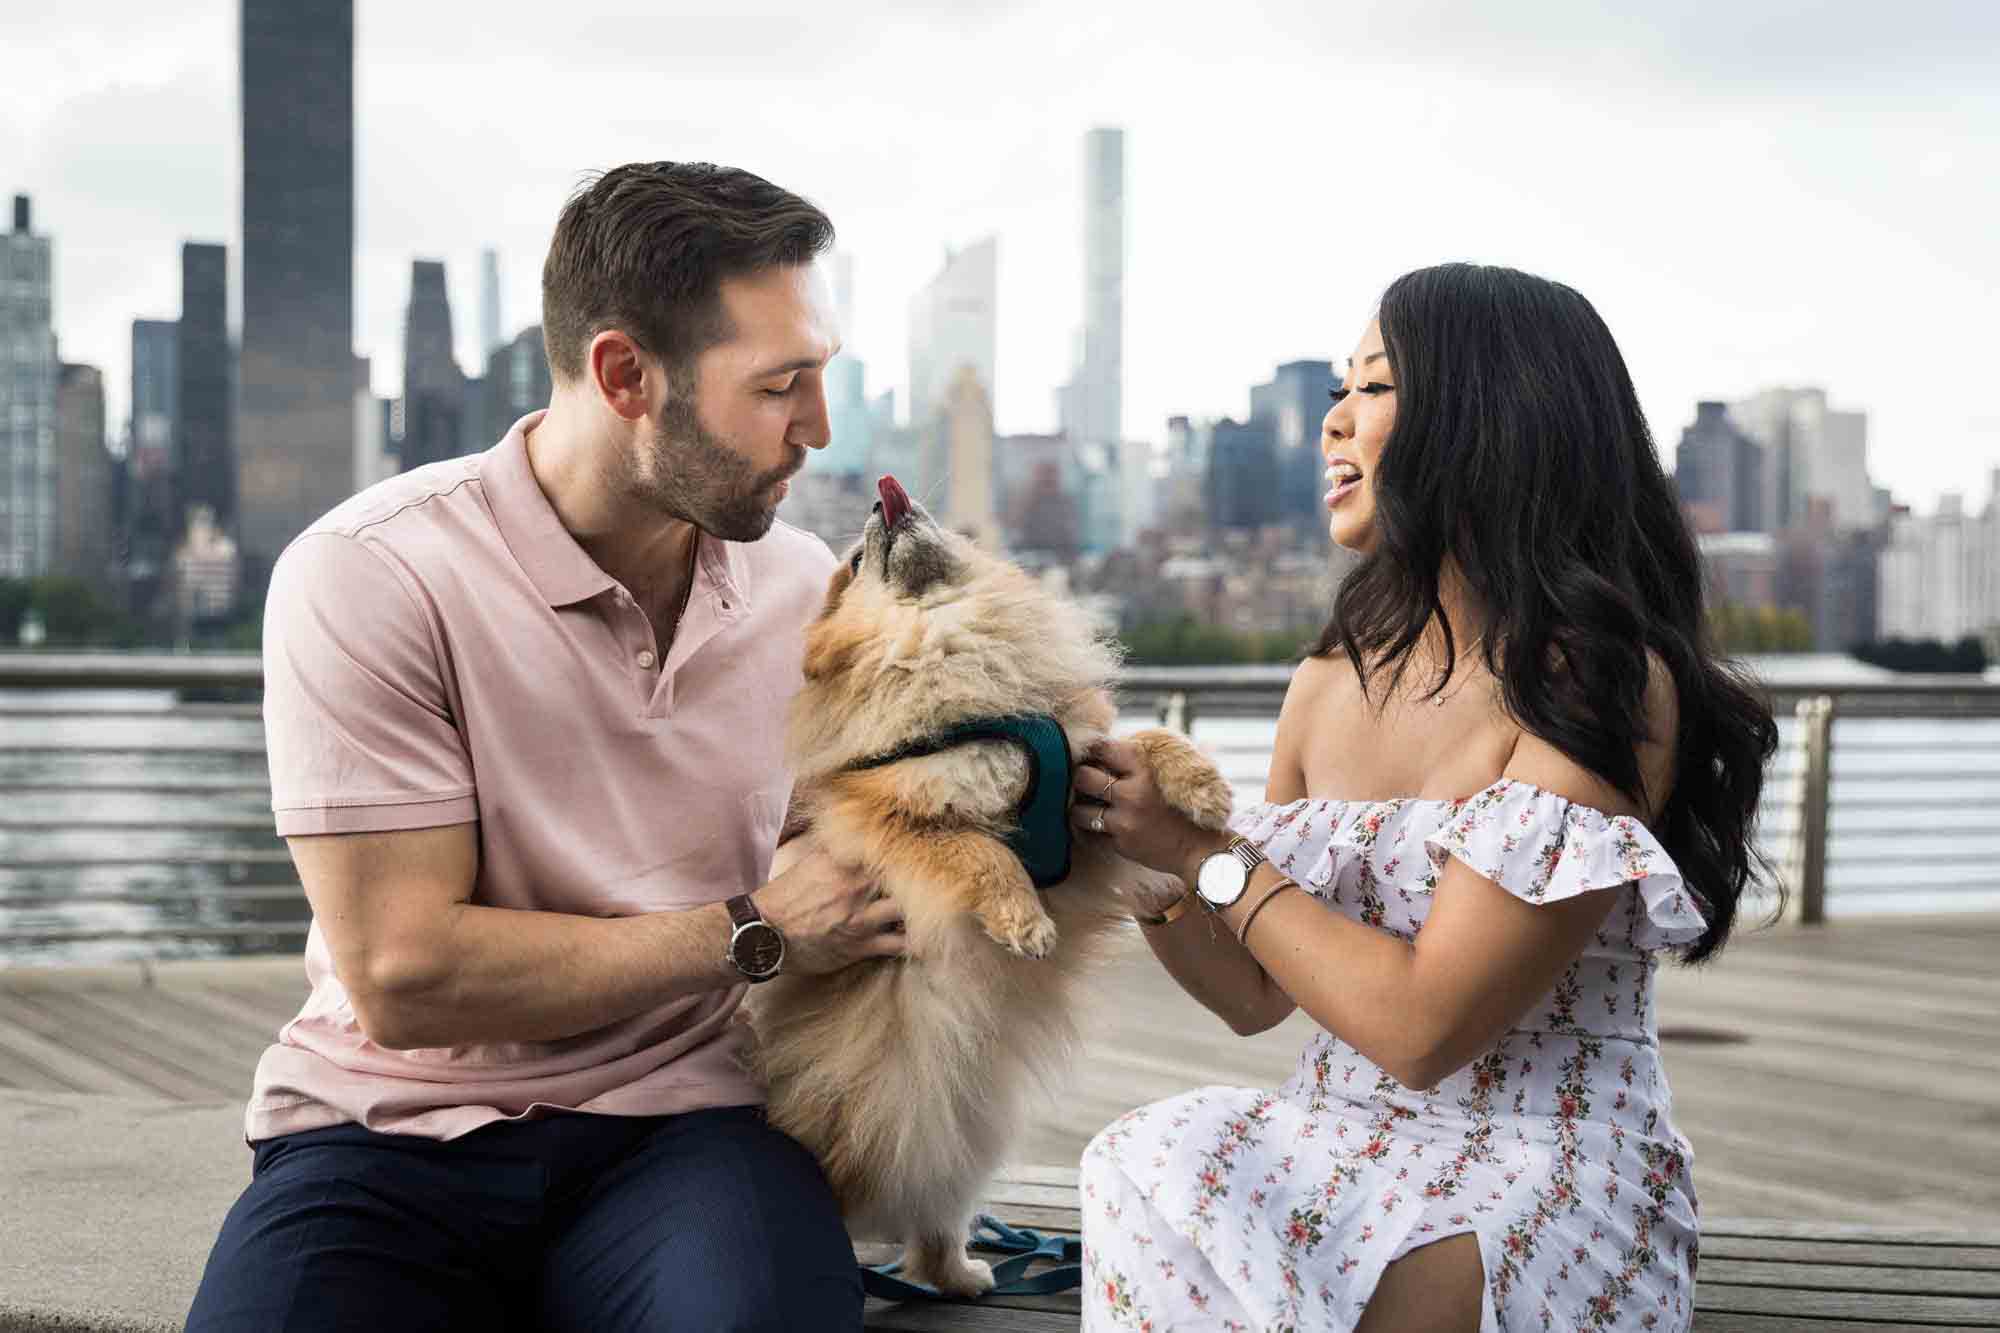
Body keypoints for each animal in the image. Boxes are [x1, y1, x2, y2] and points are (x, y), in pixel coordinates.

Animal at [752, 474, 1232, 1288]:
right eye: (857, 561)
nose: (884, 495)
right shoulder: (896, 822)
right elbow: (979, 852)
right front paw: (1021, 919)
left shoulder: (1082, 810)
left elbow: (1144, 739)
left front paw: (1204, 787)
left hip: (962, 1144)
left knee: (936, 1220)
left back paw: (961, 1275)